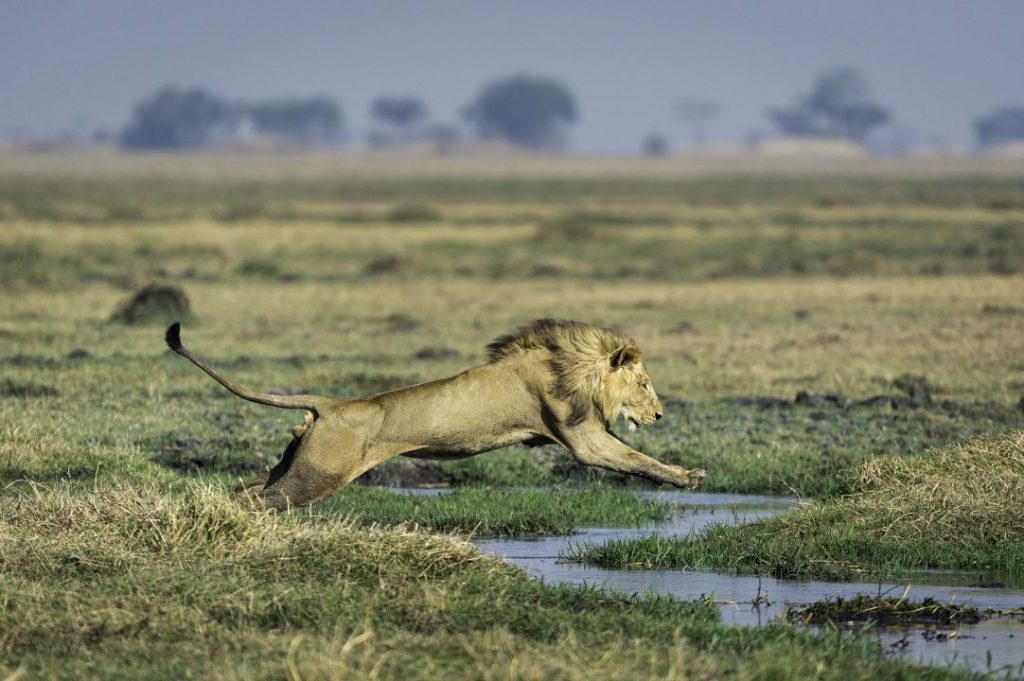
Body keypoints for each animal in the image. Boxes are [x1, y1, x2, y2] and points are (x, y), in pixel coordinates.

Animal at [165, 318, 706, 509]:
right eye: (644, 384)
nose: (660, 415)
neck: (572, 364)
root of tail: (331, 404)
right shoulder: (582, 438)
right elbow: (635, 459)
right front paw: (686, 476)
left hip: (297, 463)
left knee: (245, 488)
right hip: (318, 476)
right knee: (260, 499)